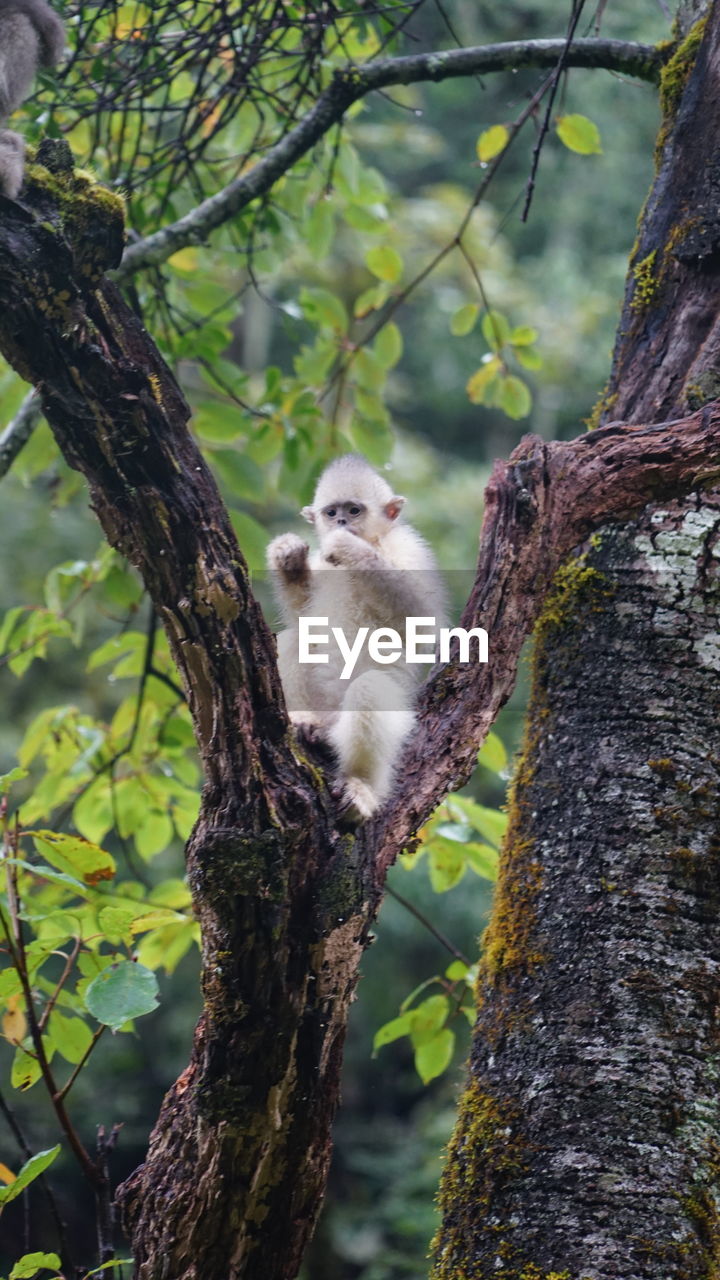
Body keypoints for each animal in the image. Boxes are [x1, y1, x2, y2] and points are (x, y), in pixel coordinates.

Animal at [265, 455, 443, 824]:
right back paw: (305, 721)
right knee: (292, 639)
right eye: (332, 512)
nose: (343, 522)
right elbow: (301, 617)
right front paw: (287, 557)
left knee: (370, 689)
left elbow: (419, 618)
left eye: (354, 510)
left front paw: (347, 547)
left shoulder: (408, 549)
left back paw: (360, 787)